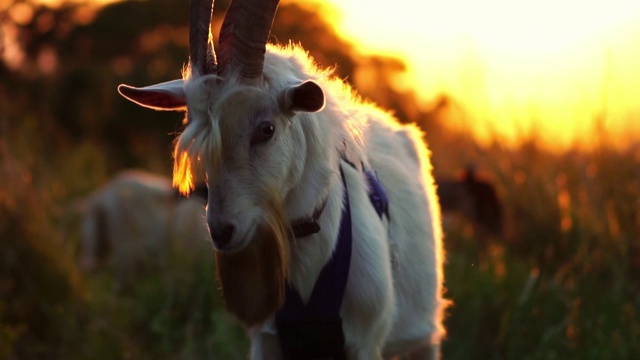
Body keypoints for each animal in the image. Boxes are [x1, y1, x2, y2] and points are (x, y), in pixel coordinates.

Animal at [117, 0, 448, 358]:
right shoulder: (266, 339)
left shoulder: (364, 341)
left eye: (266, 129)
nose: (222, 232)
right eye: (195, 128)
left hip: (424, 339)